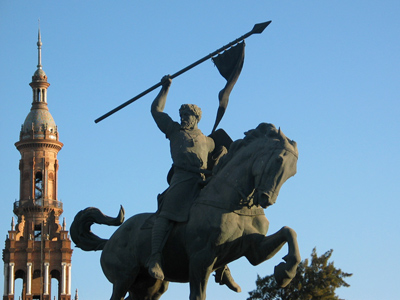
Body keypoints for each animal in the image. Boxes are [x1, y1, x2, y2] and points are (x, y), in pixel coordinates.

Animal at [70, 122, 300, 300]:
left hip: (149, 287)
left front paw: (285, 272)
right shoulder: (201, 259)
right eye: (279, 159)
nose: (266, 199)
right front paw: (285, 271)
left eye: (293, 171)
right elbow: (197, 295)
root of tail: (109, 241)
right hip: (123, 279)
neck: (233, 204)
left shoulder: (254, 250)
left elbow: (289, 232)